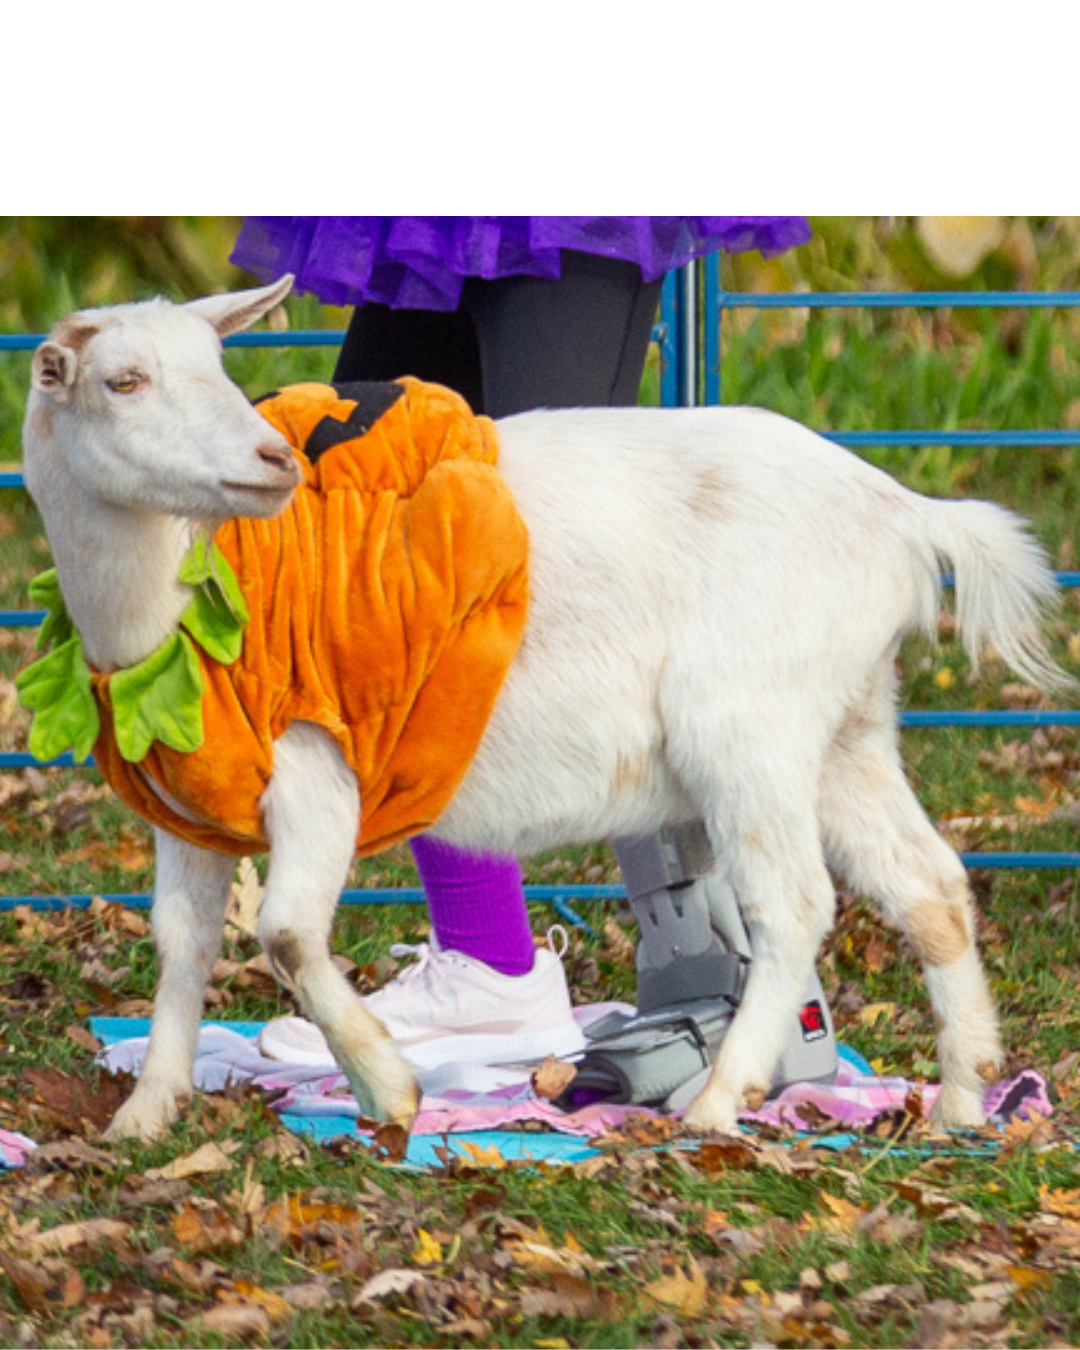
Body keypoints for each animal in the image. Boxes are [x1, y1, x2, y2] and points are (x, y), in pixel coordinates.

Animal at [20, 276, 1069, 1143]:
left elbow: (282, 931)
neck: (162, 610)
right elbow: (181, 943)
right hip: (847, 725)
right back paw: (965, 1095)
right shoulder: (188, 803)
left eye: (218, 368)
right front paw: (147, 1112)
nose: (274, 459)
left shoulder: (317, 769)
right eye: (124, 382)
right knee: (929, 885)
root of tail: (902, 514)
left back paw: (720, 1100)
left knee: (796, 903)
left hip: (748, 726)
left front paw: (387, 1088)